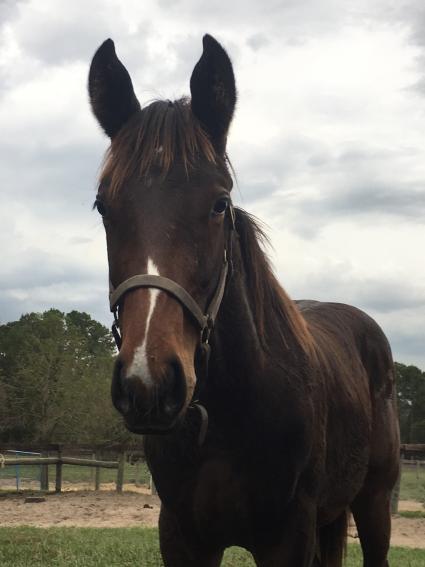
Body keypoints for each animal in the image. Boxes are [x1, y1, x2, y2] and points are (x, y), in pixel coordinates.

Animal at [88, 34, 400, 567]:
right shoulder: (182, 536)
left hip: (374, 503)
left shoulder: (289, 538)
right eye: (103, 206)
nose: (149, 383)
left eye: (219, 204)